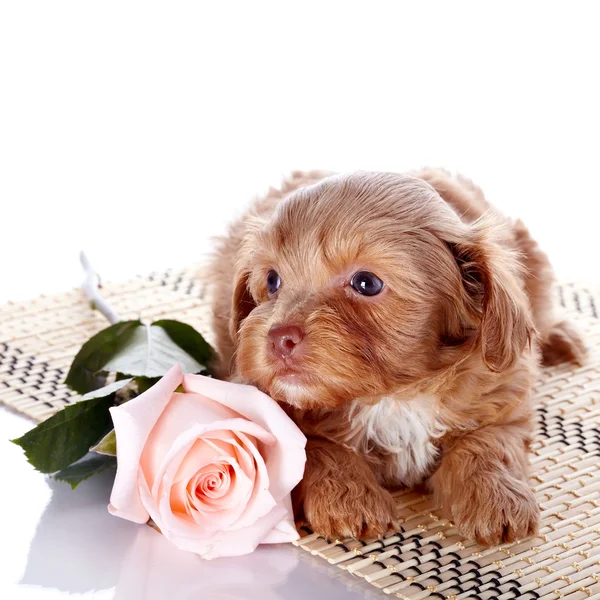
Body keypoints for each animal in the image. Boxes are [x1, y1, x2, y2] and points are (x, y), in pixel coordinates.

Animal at [207, 169, 584, 544]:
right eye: (273, 281)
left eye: (366, 283)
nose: (279, 337)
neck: (394, 395)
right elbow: (315, 447)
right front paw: (348, 500)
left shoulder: (502, 393)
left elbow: (489, 442)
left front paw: (498, 498)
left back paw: (561, 338)